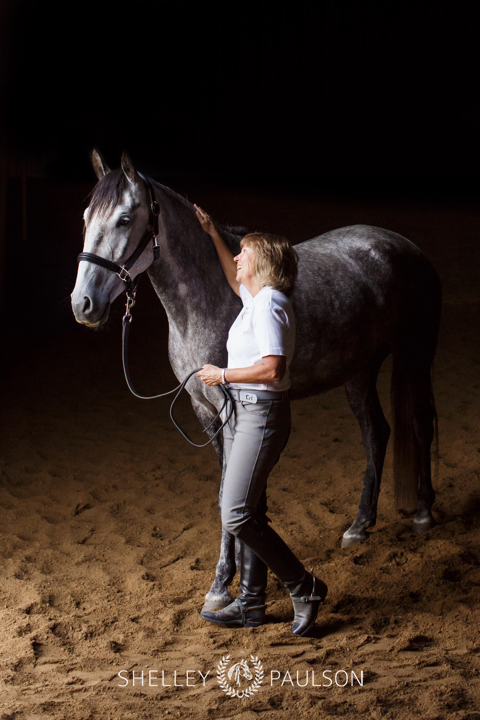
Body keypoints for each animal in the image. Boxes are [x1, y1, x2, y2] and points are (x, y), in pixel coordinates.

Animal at [69, 149, 440, 612]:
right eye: (86, 217)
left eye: (123, 219)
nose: (83, 304)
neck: (210, 298)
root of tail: (403, 245)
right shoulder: (203, 411)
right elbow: (232, 489)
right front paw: (237, 576)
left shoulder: (234, 408)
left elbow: (237, 486)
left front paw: (227, 582)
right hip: (358, 372)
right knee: (376, 432)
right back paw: (360, 524)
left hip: (414, 356)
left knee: (421, 425)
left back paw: (424, 513)